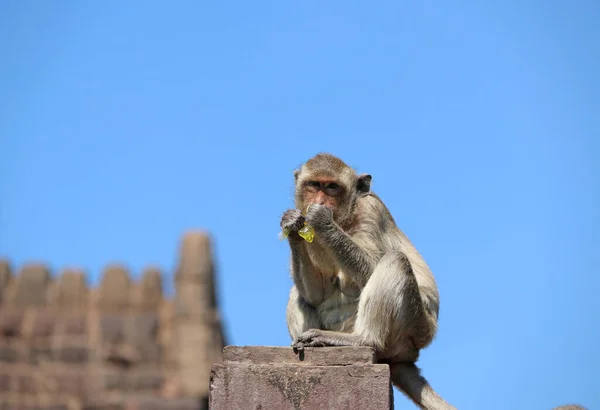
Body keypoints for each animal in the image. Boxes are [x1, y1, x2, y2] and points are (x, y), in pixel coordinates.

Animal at [282, 153, 454, 410]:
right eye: (314, 185)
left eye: (332, 187)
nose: (320, 201)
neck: (346, 218)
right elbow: (316, 294)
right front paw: (292, 225)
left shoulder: (371, 210)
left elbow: (372, 266)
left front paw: (322, 220)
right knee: (299, 293)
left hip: (413, 331)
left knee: (395, 261)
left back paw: (361, 340)